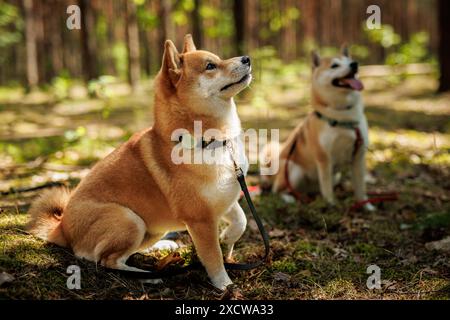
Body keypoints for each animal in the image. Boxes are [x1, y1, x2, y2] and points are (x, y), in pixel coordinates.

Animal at [26, 35, 253, 290]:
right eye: (210, 66)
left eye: (218, 59)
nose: (246, 58)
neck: (208, 141)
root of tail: (62, 227)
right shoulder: (201, 219)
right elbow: (213, 258)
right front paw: (225, 285)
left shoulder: (225, 197)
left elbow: (241, 221)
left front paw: (227, 238)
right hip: (129, 220)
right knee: (106, 260)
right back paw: (147, 275)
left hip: (150, 227)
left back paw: (161, 248)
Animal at [258, 45, 374, 210]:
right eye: (334, 65)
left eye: (349, 60)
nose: (354, 64)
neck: (342, 116)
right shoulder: (323, 158)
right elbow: (326, 187)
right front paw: (332, 205)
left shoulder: (358, 156)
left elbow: (360, 188)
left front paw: (365, 205)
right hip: (294, 170)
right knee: (279, 189)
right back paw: (289, 198)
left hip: (333, 176)